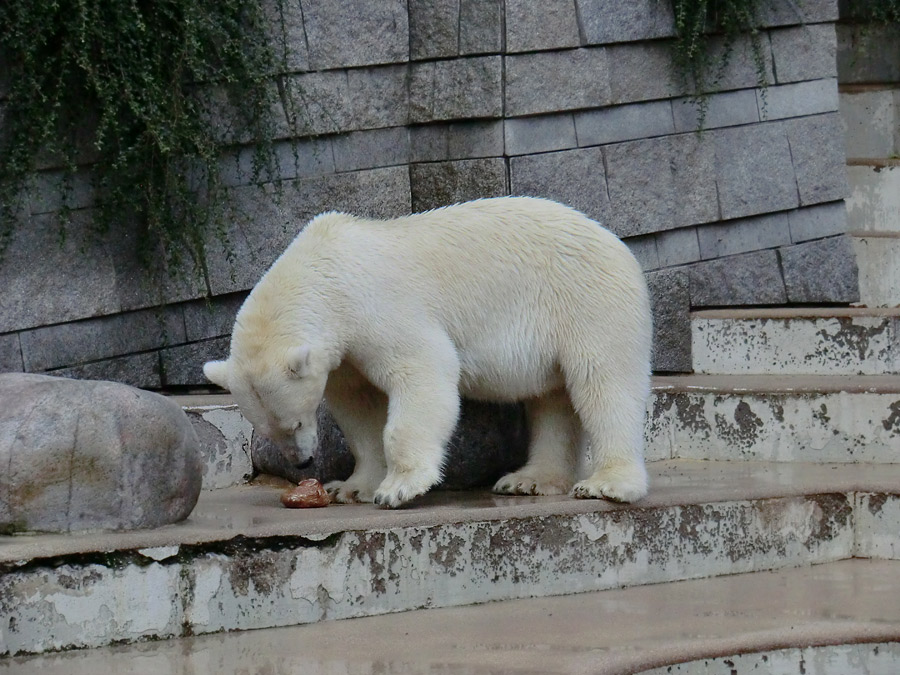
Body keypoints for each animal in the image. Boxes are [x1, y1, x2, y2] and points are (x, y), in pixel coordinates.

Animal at [205, 198, 652, 510]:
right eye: (266, 430)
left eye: (295, 422)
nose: (301, 464)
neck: (326, 272)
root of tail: (618, 244)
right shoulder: (346, 352)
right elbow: (358, 407)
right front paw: (352, 487)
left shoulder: (376, 308)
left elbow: (424, 370)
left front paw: (399, 488)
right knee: (551, 399)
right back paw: (528, 479)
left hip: (586, 301)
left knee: (604, 385)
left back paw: (607, 484)